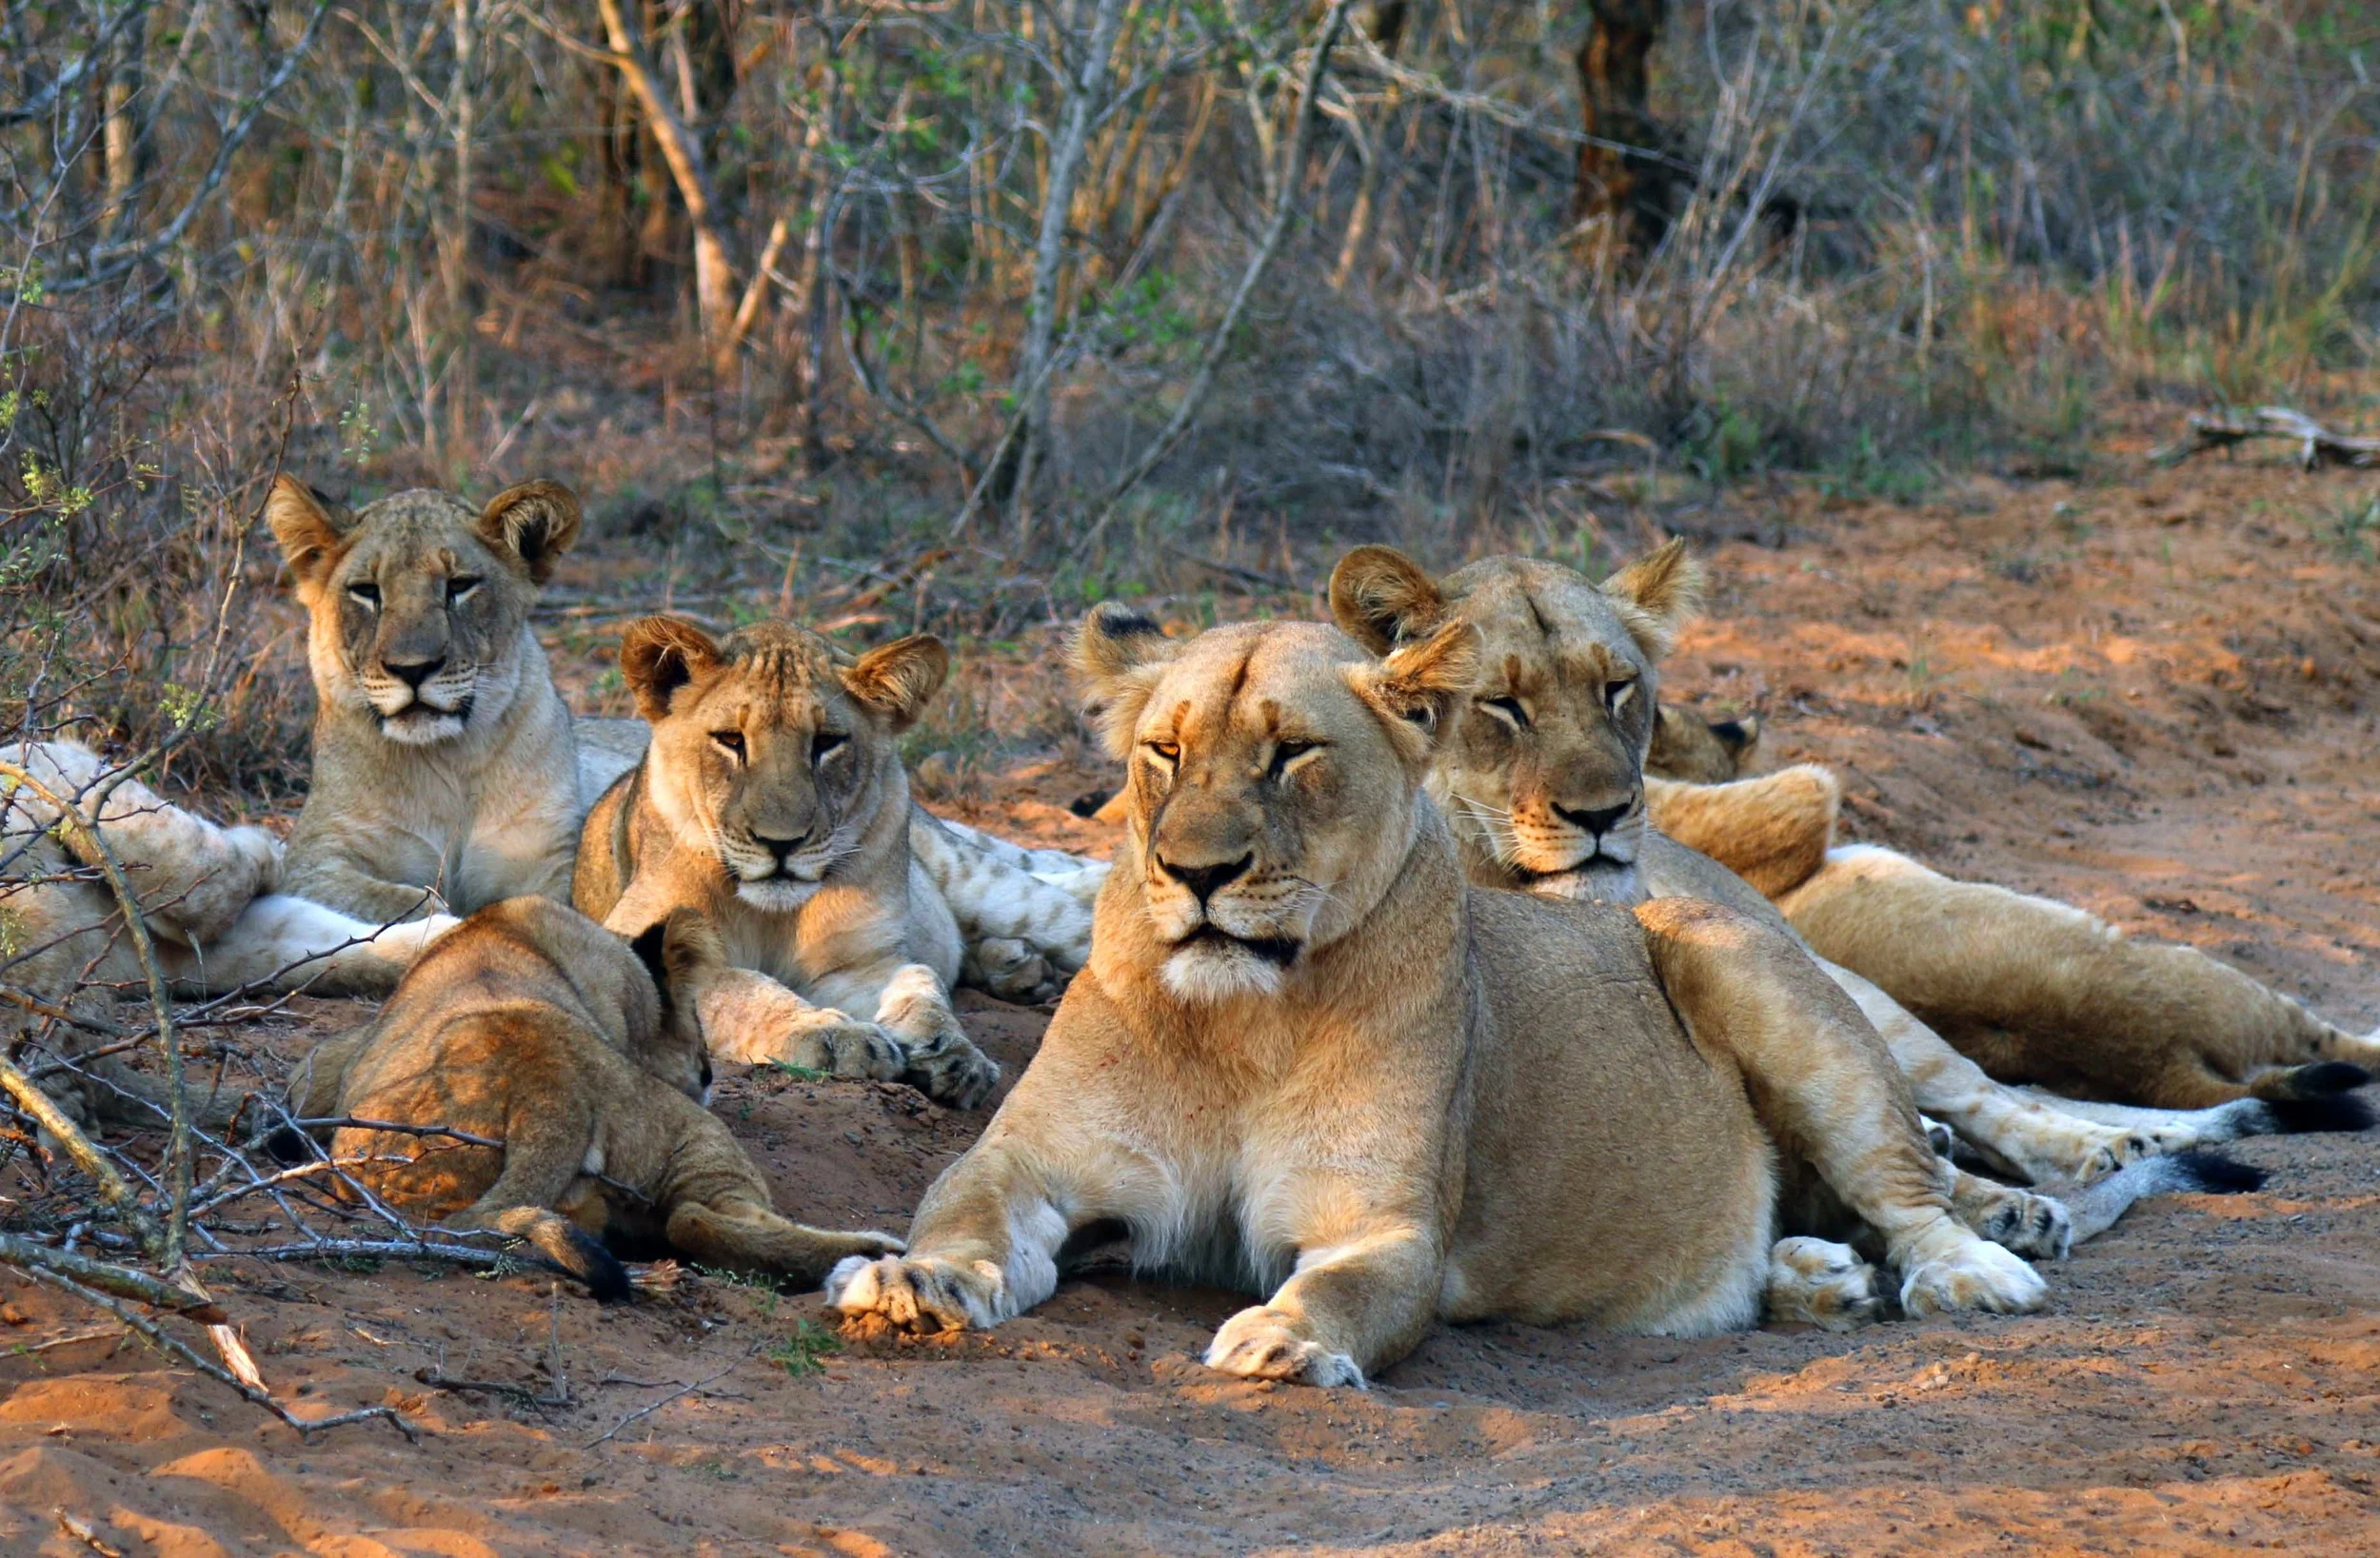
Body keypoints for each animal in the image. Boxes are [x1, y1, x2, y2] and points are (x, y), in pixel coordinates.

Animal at [264, 476, 647, 934]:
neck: (447, 762)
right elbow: (395, 902)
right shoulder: (311, 860)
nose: (413, 669)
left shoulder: (549, 863)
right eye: (367, 592)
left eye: (459, 586)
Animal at [284, 895, 902, 1299]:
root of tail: (547, 1083)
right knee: (697, 1218)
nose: (708, 1073)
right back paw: (875, 1250)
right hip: (692, 1134)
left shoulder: (325, 1066)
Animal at [573, 616, 1000, 1109]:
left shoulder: (861, 961)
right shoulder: (628, 940)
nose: (781, 843)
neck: (773, 916)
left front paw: (953, 1053)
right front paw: (834, 1035)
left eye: (827, 743)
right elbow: (740, 987)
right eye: (731, 740)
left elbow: (920, 983)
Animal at [829, 608, 2049, 1384]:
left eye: (1291, 753)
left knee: (1904, 1175)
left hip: (1736, 965)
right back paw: (1817, 1276)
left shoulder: (1379, 1222)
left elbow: (1341, 1295)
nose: (1194, 872)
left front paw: (1282, 1340)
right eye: (1163, 752)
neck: (1236, 1018)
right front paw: (913, 1278)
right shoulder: (1029, 1161)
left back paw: (1975, 1266)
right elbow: (963, 1209)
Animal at [1324, 542, 2371, 1173]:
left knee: (2000, 1101)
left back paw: (2095, 1151)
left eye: (1618, 686)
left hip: (1867, 1000)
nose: (1606, 814)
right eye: (1500, 705)